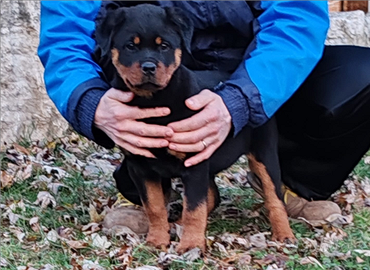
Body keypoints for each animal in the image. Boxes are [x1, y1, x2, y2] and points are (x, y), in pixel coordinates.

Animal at [94, 4, 294, 253]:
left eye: (164, 46)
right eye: (131, 46)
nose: (149, 67)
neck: (154, 100)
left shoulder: (194, 162)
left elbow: (194, 208)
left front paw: (191, 245)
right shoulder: (140, 166)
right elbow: (154, 207)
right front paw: (157, 240)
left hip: (263, 152)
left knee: (274, 196)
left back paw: (284, 234)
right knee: (213, 195)